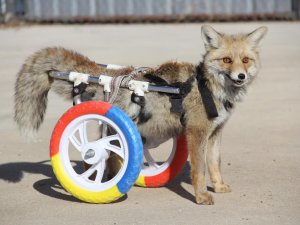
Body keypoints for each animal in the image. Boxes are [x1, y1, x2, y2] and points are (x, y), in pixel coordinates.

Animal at [14, 25, 268, 205]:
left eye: (245, 60)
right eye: (227, 60)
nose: (241, 76)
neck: (207, 87)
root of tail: (113, 75)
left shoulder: (215, 134)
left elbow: (215, 165)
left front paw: (219, 186)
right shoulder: (197, 133)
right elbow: (200, 170)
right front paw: (201, 196)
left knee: (112, 158)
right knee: (95, 155)